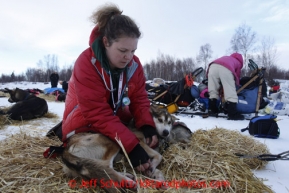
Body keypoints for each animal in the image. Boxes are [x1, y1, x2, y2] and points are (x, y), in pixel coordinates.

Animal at [61, 105, 191, 192]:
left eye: (169, 122)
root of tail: (67, 149)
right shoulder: (139, 143)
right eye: (160, 120)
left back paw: (127, 177)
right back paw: (127, 181)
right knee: (105, 166)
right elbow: (158, 156)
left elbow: (156, 170)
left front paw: (159, 180)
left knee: (102, 168)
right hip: (115, 142)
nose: (166, 132)